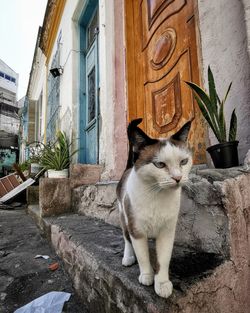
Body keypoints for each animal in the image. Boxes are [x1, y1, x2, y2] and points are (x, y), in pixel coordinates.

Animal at [116, 117, 192, 298]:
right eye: (160, 165)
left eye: (183, 162)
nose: (178, 178)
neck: (157, 195)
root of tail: (129, 168)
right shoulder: (137, 230)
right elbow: (142, 256)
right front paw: (147, 276)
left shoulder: (167, 231)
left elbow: (163, 259)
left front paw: (162, 284)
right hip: (124, 216)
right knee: (126, 239)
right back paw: (128, 257)